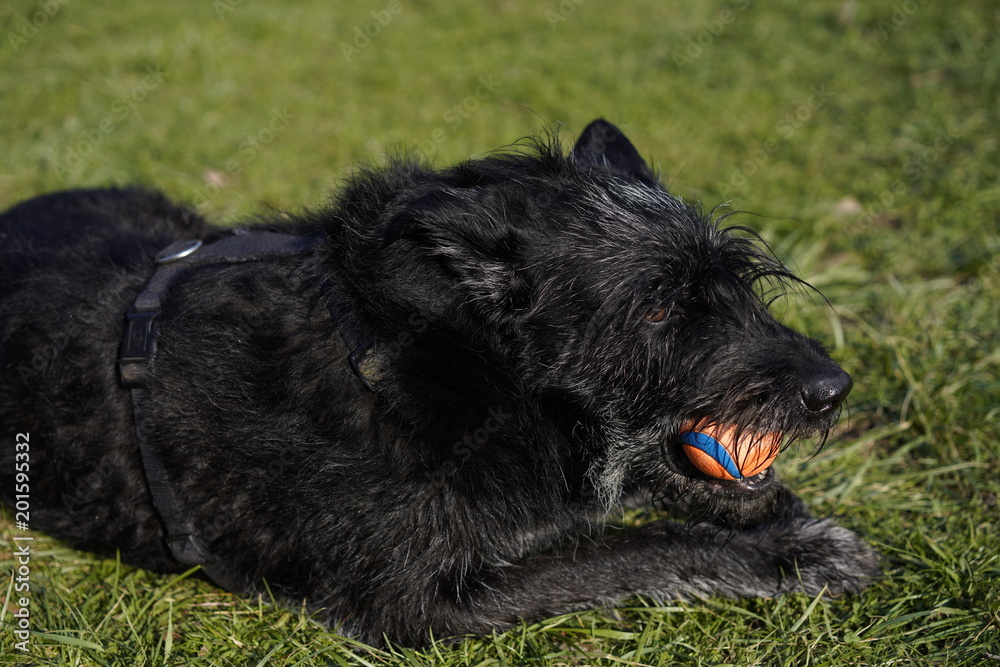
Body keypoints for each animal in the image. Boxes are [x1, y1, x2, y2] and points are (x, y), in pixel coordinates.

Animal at [0, 120, 876, 648]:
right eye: (660, 305)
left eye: (737, 280)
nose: (832, 387)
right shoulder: (422, 603)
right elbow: (631, 551)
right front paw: (791, 551)